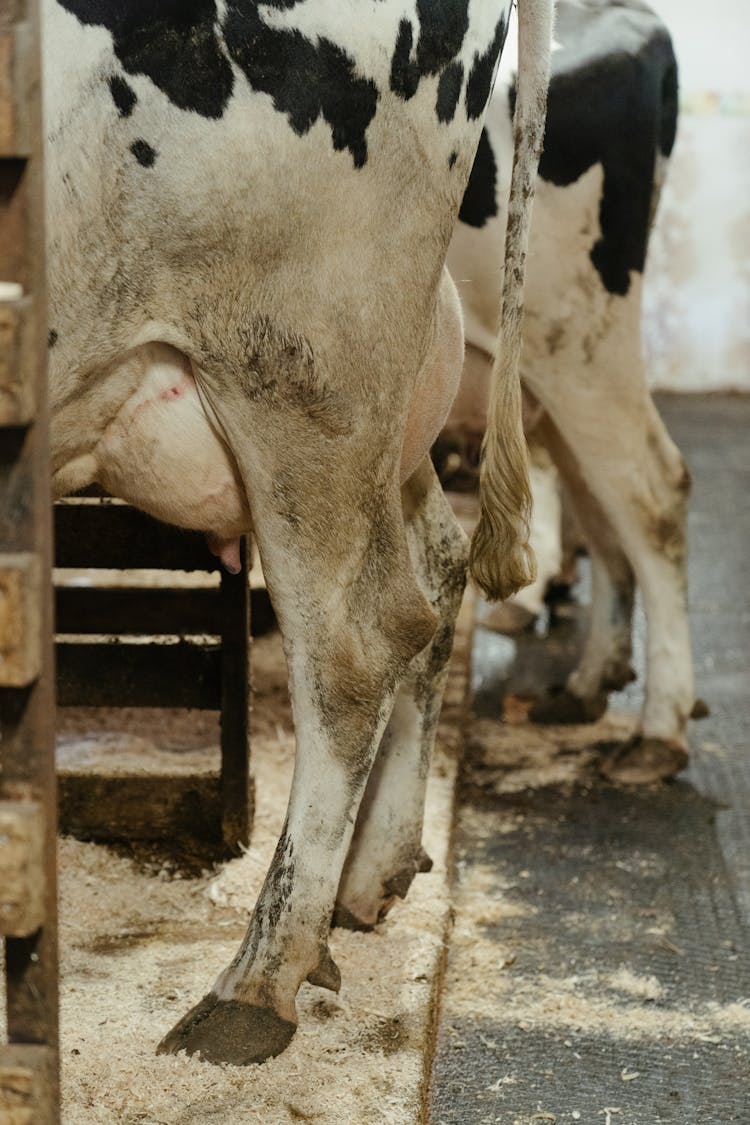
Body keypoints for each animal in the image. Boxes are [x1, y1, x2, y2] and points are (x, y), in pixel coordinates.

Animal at [41, 0, 555, 1062]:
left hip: (303, 368)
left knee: (360, 643)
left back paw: (256, 983)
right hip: (384, 402)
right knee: (437, 572)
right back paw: (366, 883)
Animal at [440, 0, 692, 787]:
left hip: (577, 342)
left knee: (650, 492)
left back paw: (659, 726)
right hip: (550, 370)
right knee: (593, 492)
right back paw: (588, 680)